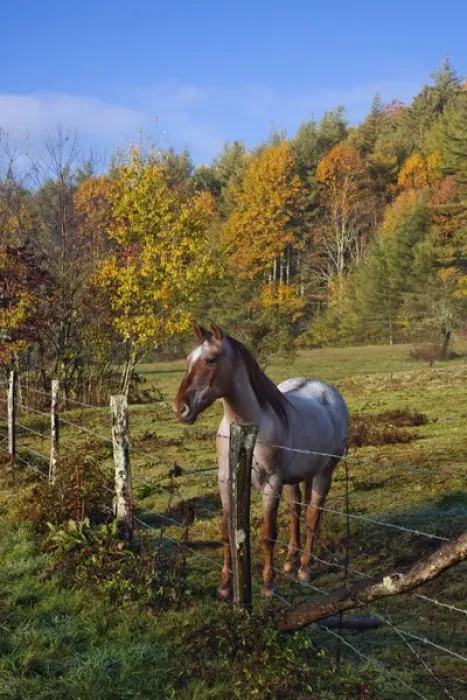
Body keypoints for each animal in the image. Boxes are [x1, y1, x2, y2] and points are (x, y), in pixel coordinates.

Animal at [173, 323, 349, 599]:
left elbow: (269, 534)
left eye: (210, 360)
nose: (180, 408)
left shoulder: (271, 484)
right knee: (296, 510)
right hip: (296, 478)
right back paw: (290, 560)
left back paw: (305, 567)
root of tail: (328, 393)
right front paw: (225, 585)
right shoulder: (225, 482)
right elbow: (227, 532)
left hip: (324, 473)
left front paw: (268, 585)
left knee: (312, 515)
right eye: (188, 359)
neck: (247, 427)